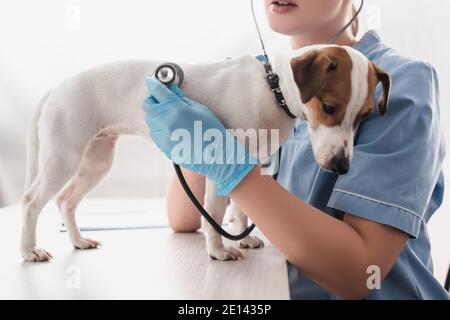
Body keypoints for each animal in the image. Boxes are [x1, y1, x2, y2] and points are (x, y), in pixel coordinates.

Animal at [20, 44, 390, 262]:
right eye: (329, 108)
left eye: (364, 116)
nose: (341, 167)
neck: (272, 88)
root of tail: (57, 87)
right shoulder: (221, 164)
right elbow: (214, 213)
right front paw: (218, 250)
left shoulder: (247, 165)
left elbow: (240, 209)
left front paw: (243, 240)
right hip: (64, 157)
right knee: (31, 201)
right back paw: (29, 250)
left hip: (96, 162)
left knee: (66, 200)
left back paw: (78, 241)